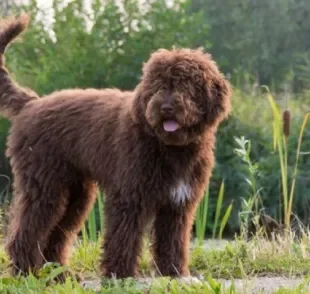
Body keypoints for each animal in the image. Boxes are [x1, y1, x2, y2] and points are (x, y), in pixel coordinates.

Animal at [0, 15, 231, 278]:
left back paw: (59, 275)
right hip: (44, 185)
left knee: (57, 233)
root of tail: (31, 103)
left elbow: (173, 240)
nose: (165, 107)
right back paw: (25, 272)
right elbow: (124, 235)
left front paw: (173, 272)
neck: (167, 146)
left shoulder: (177, 203)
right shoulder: (130, 195)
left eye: (185, 85)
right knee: (28, 229)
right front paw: (119, 274)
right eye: (157, 85)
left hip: (75, 193)